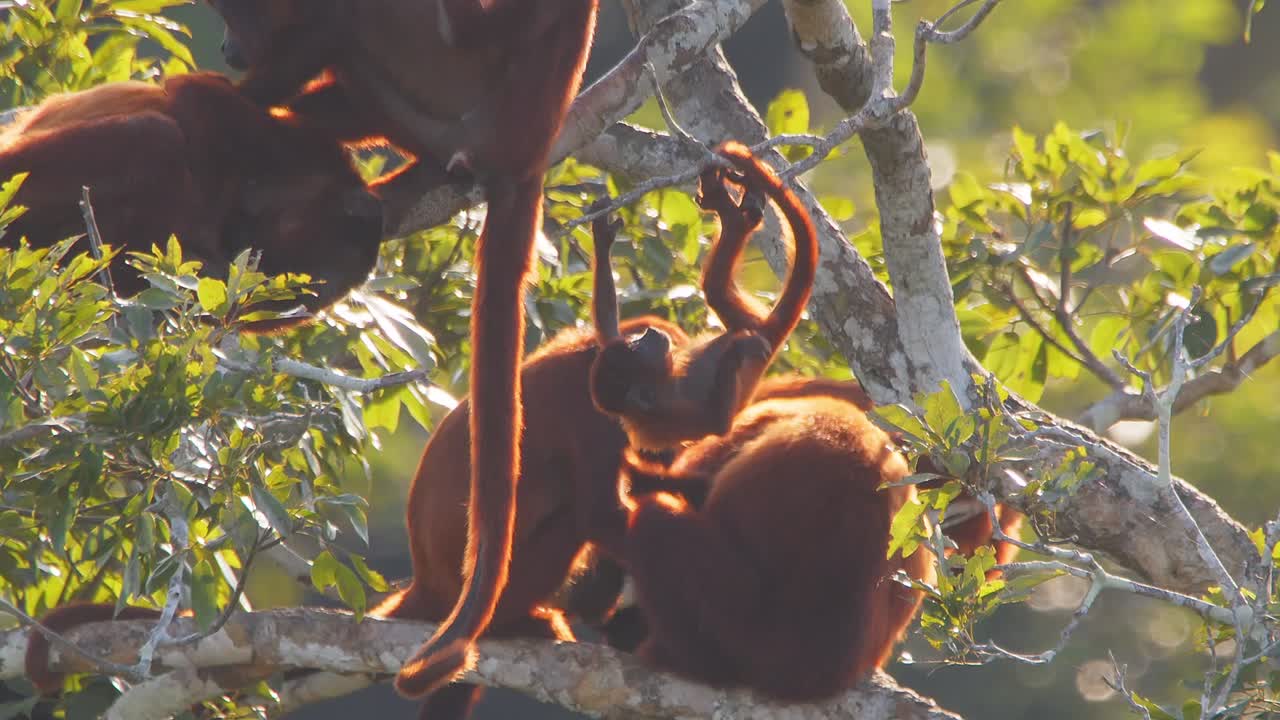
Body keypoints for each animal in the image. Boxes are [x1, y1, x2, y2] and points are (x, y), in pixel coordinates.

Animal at [0, 72, 383, 332]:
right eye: (326, 263)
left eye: (330, 286)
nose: (313, 295)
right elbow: (200, 95)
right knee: (154, 136)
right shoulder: (297, 144)